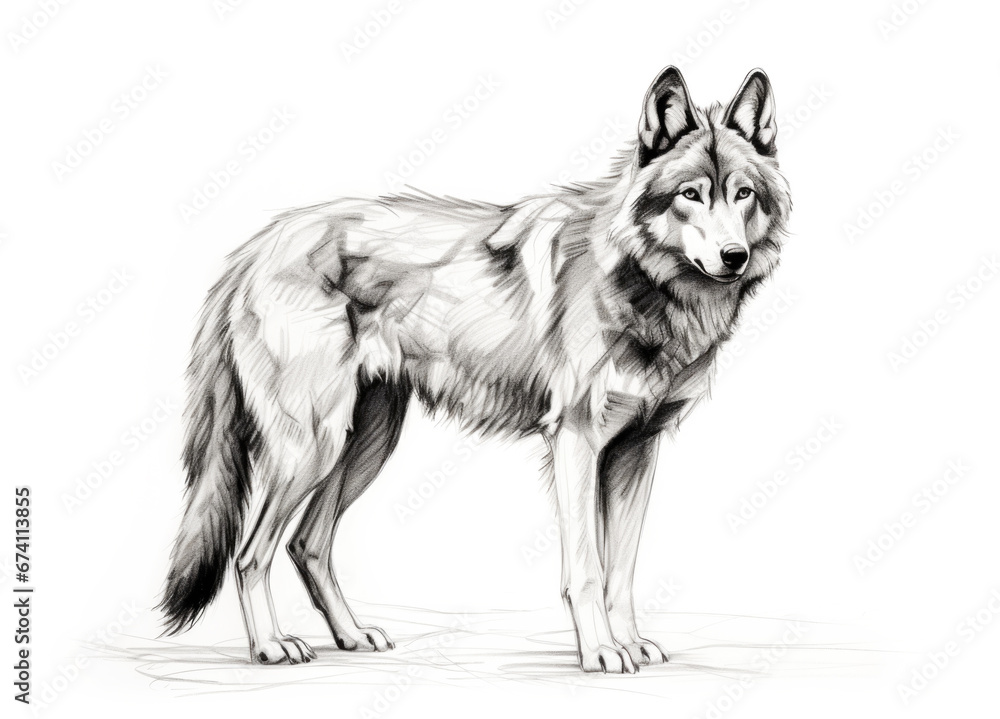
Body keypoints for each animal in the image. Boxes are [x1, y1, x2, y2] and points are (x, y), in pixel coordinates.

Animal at [160, 66, 791, 673]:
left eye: (743, 195)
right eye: (691, 195)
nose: (733, 257)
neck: (639, 284)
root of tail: (256, 245)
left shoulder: (636, 450)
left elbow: (622, 572)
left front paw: (631, 645)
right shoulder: (576, 441)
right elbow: (587, 570)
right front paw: (600, 653)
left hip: (361, 443)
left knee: (307, 545)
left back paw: (351, 636)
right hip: (313, 447)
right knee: (251, 553)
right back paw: (270, 647)